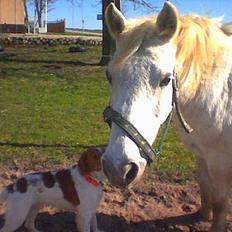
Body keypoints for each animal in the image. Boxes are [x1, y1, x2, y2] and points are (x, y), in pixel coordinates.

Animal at [102, 2, 232, 232]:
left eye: (166, 79)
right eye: (110, 76)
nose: (118, 168)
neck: (220, 94)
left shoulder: (221, 161)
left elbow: (220, 203)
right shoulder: (202, 154)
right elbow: (204, 184)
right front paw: (202, 215)